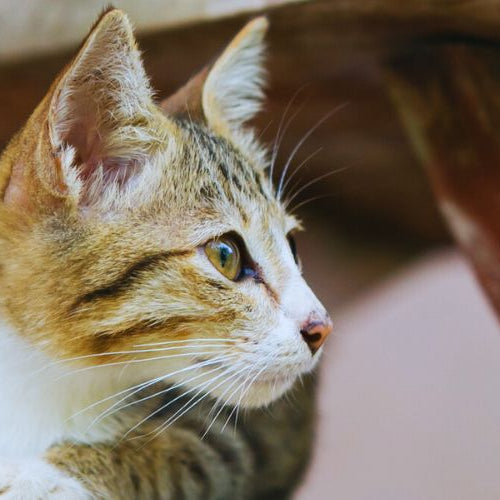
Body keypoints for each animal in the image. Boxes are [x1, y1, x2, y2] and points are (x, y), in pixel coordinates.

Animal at [0, 8, 332, 500]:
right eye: (225, 255)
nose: (322, 327)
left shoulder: (265, 428)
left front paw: (48, 475)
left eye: (291, 245)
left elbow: (184, 451)